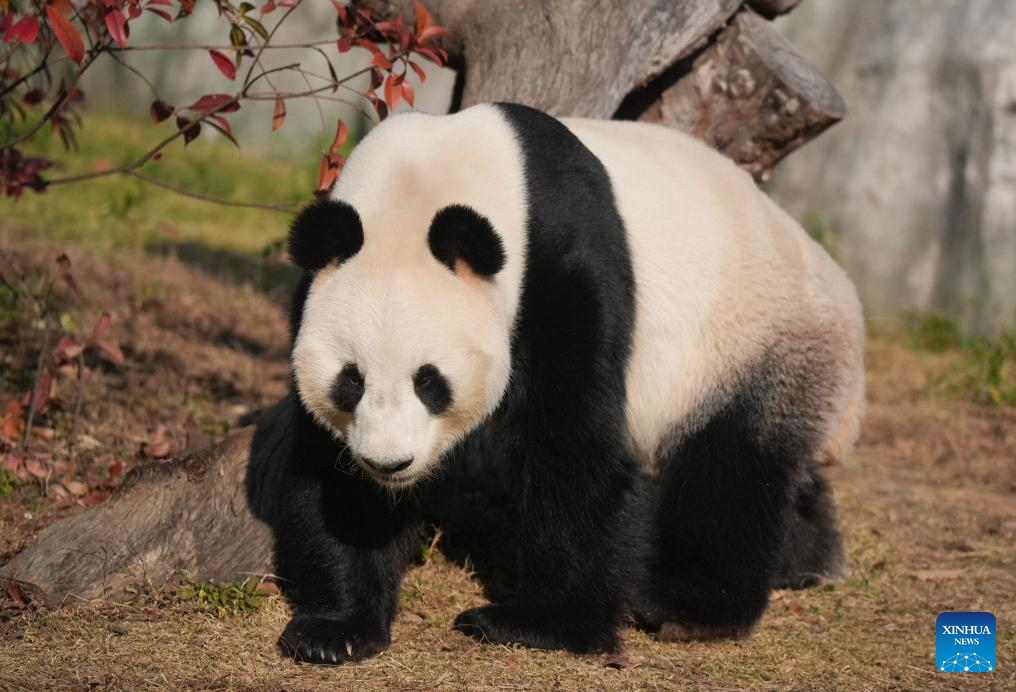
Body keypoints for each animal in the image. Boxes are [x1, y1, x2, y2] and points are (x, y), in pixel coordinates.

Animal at [258, 102, 861, 662]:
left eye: (430, 382)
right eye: (350, 382)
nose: (390, 463)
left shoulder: (560, 262)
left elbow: (571, 439)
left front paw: (541, 623)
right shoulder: (314, 296)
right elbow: (330, 468)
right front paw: (336, 629)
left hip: (751, 340)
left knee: (731, 470)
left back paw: (688, 607)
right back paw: (810, 560)